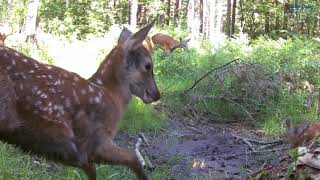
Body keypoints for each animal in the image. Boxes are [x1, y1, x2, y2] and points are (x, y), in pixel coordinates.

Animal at [0, 20, 159, 180]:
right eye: (148, 65)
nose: (157, 95)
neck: (111, 96)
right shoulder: (95, 140)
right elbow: (133, 157)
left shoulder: (79, 154)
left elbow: (92, 171)